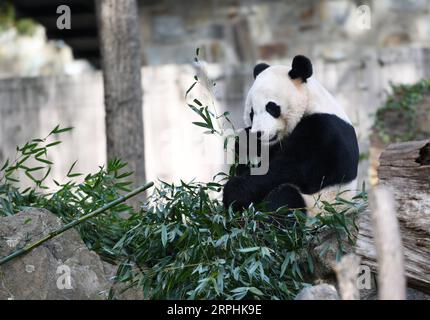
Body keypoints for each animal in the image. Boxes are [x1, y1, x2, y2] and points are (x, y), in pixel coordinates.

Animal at [222, 55, 360, 218]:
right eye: (252, 112)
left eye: (271, 107)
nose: (259, 133)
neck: (311, 102)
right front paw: (247, 142)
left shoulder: (324, 132)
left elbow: (289, 170)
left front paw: (233, 192)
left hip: (321, 207)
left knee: (286, 198)